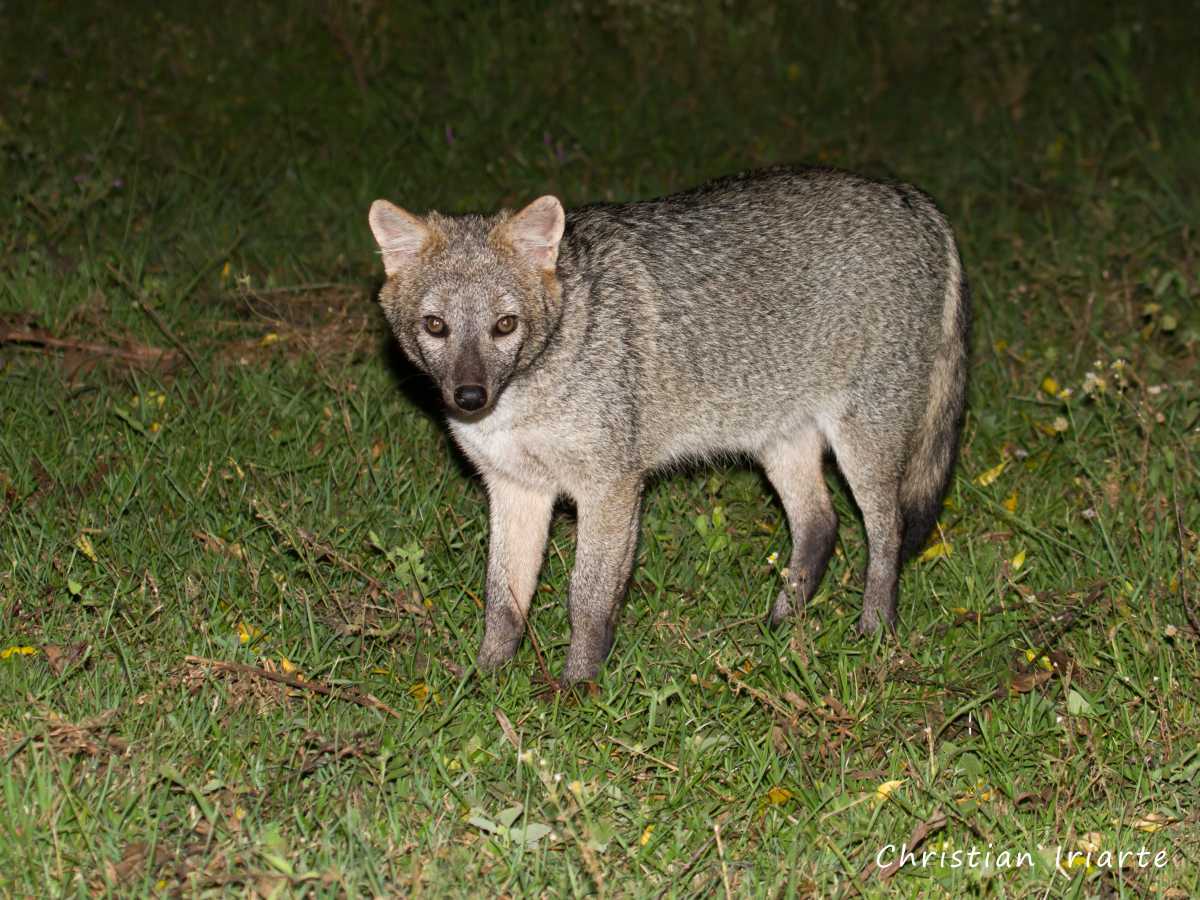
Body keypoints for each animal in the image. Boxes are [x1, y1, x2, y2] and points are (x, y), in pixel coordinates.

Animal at [368, 166, 969, 683]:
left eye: (504, 325)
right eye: (436, 326)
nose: (470, 397)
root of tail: (914, 197)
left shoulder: (610, 488)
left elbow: (587, 599)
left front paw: (575, 691)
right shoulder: (516, 489)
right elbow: (503, 599)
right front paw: (486, 680)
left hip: (862, 448)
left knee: (886, 532)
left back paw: (874, 629)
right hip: (780, 444)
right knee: (820, 525)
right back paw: (782, 622)